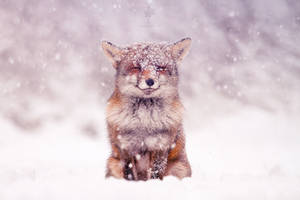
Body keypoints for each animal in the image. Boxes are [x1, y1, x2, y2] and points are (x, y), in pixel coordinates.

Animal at [102, 37, 192, 181]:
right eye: (136, 67)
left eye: (160, 68)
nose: (150, 81)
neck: (144, 121)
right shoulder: (125, 147)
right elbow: (129, 173)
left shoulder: (160, 146)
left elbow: (155, 173)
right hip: (113, 163)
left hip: (178, 168)